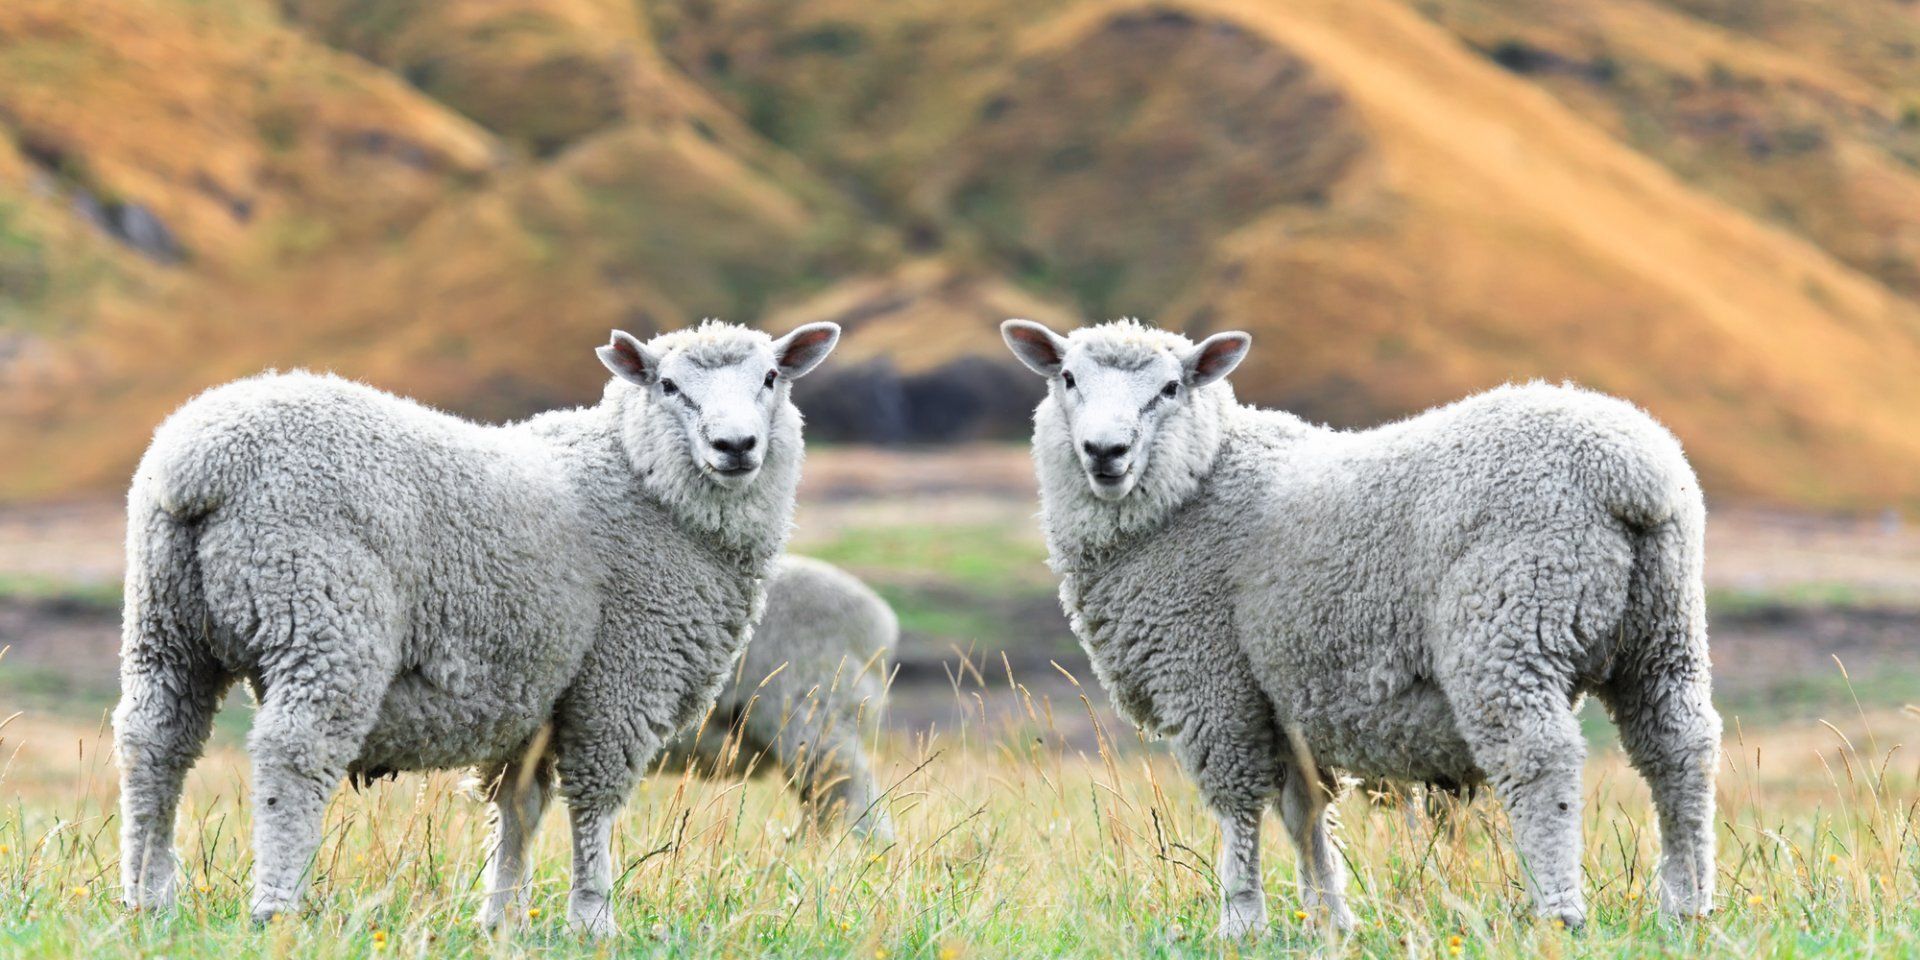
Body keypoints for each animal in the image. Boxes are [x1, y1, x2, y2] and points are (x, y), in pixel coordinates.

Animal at [112, 320, 841, 937]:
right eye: (669, 386)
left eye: (771, 377)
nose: (735, 446)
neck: (641, 482)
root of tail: (201, 462)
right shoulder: (623, 675)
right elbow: (594, 801)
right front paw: (593, 919)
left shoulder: (535, 694)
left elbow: (518, 807)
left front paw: (501, 919)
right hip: (324, 614)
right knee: (295, 754)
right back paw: (275, 907)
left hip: (166, 622)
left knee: (155, 744)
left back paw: (148, 899)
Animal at [1000, 318, 1720, 938]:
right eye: (1068, 377)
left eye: (1170, 388)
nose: (1105, 452)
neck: (1198, 483)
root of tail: (1630, 472)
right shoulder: (1281, 696)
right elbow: (1303, 813)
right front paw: (1328, 918)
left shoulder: (1210, 677)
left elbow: (1238, 806)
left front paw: (1240, 920)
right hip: (1663, 628)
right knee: (1679, 749)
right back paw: (1687, 907)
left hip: (1509, 619)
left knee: (1538, 758)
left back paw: (1559, 912)